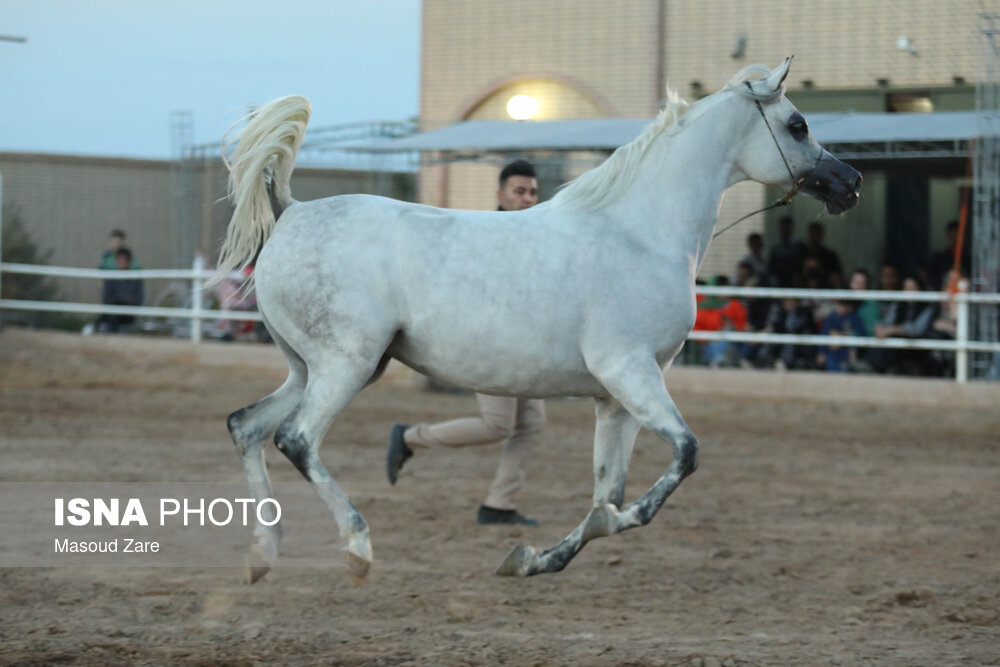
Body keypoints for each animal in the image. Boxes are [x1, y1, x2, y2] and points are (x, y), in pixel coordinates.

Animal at [221, 60, 860, 588]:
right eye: (799, 124)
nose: (849, 183)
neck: (640, 232)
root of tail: (294, 211)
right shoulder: (631, 372)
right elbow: (681, 458)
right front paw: (565, 543)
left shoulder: (615, 397)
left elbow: (609, 493)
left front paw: (531, 559)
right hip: (344, 366)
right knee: (295, 439)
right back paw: (357, 548)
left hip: (314, 368)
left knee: (246, 426)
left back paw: (262, 555)